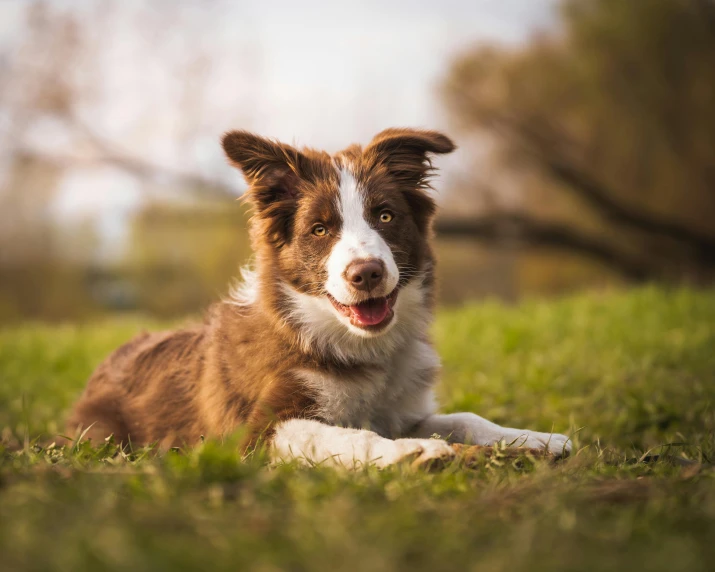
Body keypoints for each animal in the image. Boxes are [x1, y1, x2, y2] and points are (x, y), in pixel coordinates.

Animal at [65, 131, 572, 470]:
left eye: (385, 216)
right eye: (320, 229)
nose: (366, 273)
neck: (352, 344)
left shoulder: (400, 409)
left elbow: (465, 417)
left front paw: (535, 438)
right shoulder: (256, 434)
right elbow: (348, 437)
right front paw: (413, 452)